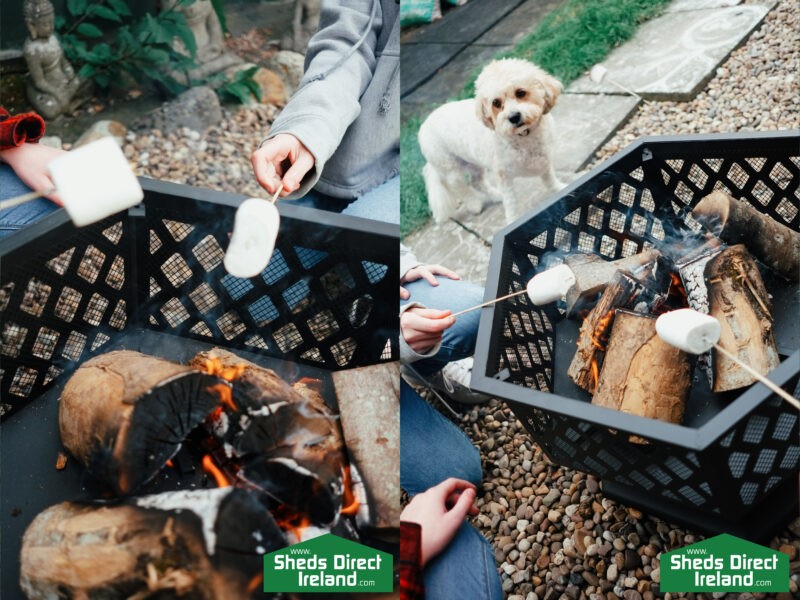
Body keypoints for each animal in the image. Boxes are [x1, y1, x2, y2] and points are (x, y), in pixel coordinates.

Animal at [418, 59, 564, 224]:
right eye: (496, 103)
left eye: (520, 92)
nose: (513, 117)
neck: (524, 135)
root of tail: (423, 126)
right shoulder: (504, 177)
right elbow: (511, 203)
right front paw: (513, 221)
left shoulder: (545, 160)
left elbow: (549, 180)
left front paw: (559, 189)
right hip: (450, 167)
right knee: (458, 186)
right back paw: (474, 204)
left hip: (473, 163)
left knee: (477, 182)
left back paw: (496, 196)